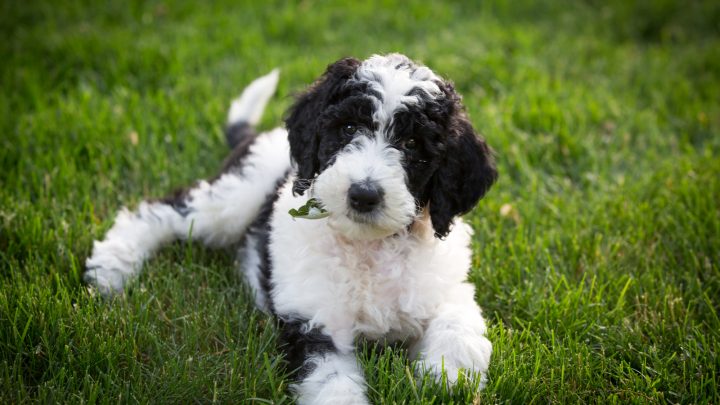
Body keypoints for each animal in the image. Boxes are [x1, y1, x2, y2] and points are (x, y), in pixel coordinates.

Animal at [86, 54, 496, 404]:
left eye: (412, 144)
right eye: (348, 127)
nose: (363, 195)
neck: (368, 246)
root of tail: (257, 137)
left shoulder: (444, 284)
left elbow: (458, 321)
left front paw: (446, 377)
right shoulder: (312, 326)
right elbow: (333, 385)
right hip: (233, 197)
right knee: (161, 211)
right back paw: (111, 267)